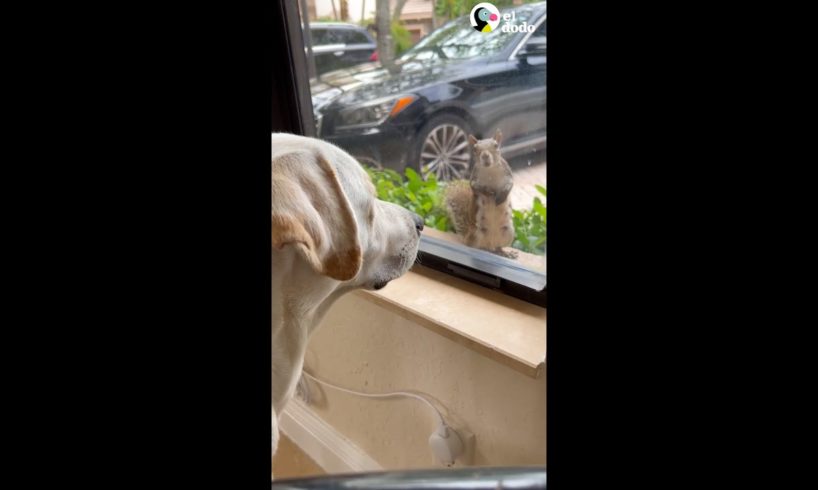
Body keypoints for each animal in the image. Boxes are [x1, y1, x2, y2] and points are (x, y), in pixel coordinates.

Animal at [443, 129, 518, 259]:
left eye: (496, 145)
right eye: (475, 149)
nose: (485, 155)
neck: (490, 170)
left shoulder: (507, 173)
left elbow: (510, 184)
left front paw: (502, 196)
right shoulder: (474, 177)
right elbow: (475, 187)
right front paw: (488, 192)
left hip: (508, 232)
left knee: (497, 247)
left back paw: (505, 252)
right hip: (477, 234)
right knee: (477, 247)